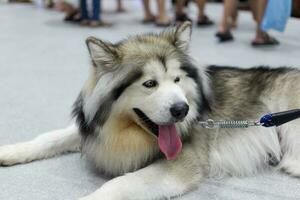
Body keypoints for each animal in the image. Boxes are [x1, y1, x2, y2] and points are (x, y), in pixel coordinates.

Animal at [0, 21, 300, 199]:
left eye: (177, 80)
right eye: (149, 83)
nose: (182, 110)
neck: (127, 131)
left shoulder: (180, 164)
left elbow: (119, 183)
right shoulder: (96, 130)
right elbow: (50, 137)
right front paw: (11, 151)